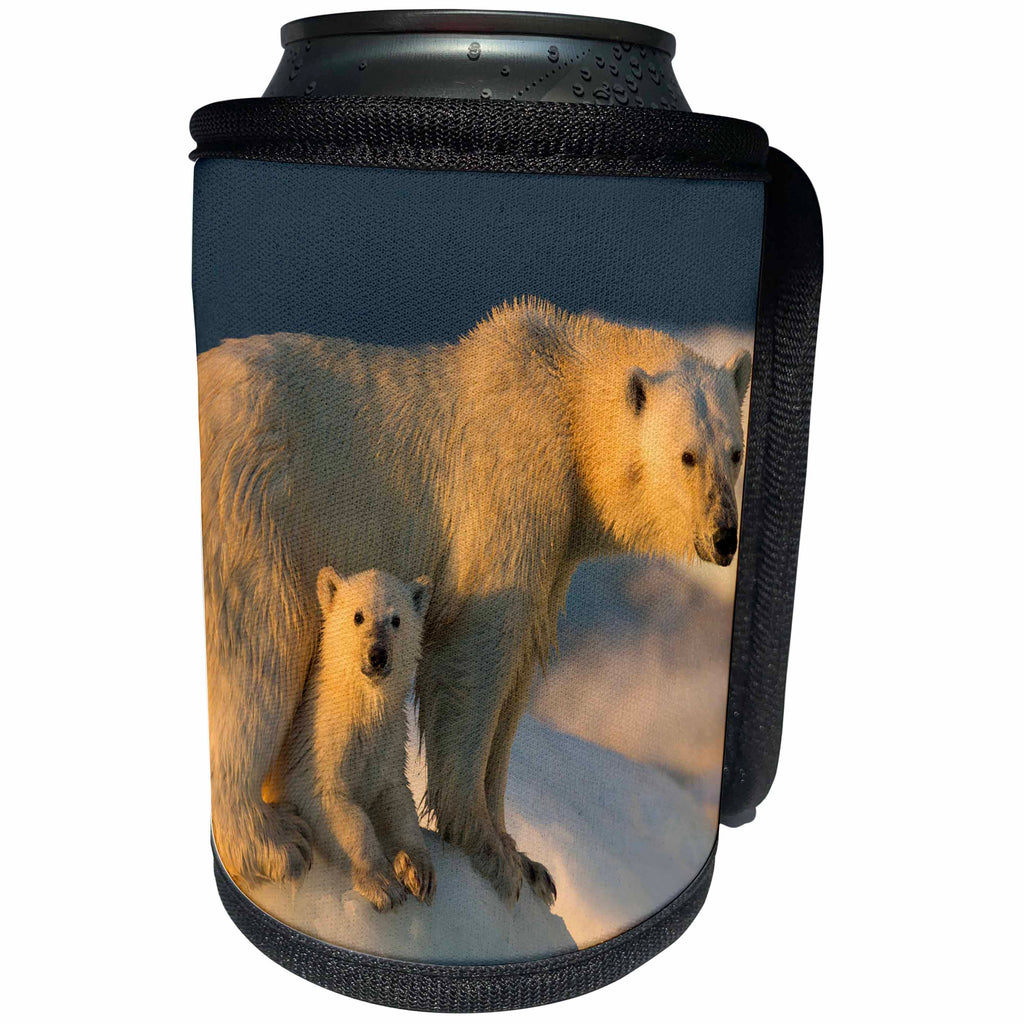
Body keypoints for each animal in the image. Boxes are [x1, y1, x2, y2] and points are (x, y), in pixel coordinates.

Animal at [262, 567, 435, 912]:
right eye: (358, 616)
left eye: (396, 620)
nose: (378, 655)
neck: (361, 707)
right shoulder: (317, 745)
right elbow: (336, 806)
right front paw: (384, 885)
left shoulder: (388, 745)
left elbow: (396, 799)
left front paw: (417, 870)